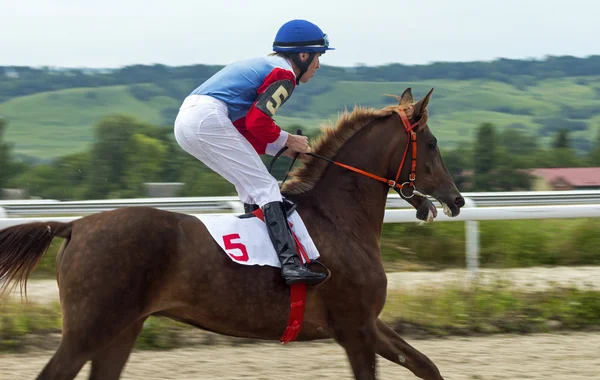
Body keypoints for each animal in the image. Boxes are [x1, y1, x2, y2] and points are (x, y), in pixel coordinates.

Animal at [0, 87, 464, 380]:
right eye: (433, 142)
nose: (456, 199)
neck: (338, 218)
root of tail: (74, 225)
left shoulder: (366, 323)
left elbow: (427, 365)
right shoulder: (355, 329)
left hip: (121, 329)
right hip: (89, 330)